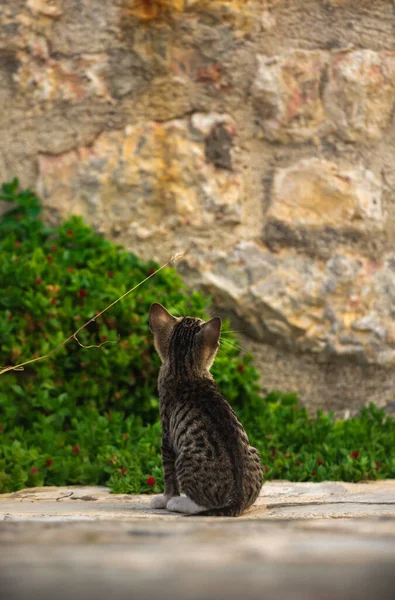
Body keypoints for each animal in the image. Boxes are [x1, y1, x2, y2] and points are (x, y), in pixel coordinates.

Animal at [148, 302, 262, 516]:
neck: (185, 371)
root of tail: (237, 497)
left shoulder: (166, 438)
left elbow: (169, 477)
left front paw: (165, 499)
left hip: (184, 458)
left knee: (203, 505)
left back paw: (178, 503)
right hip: (255, 453)